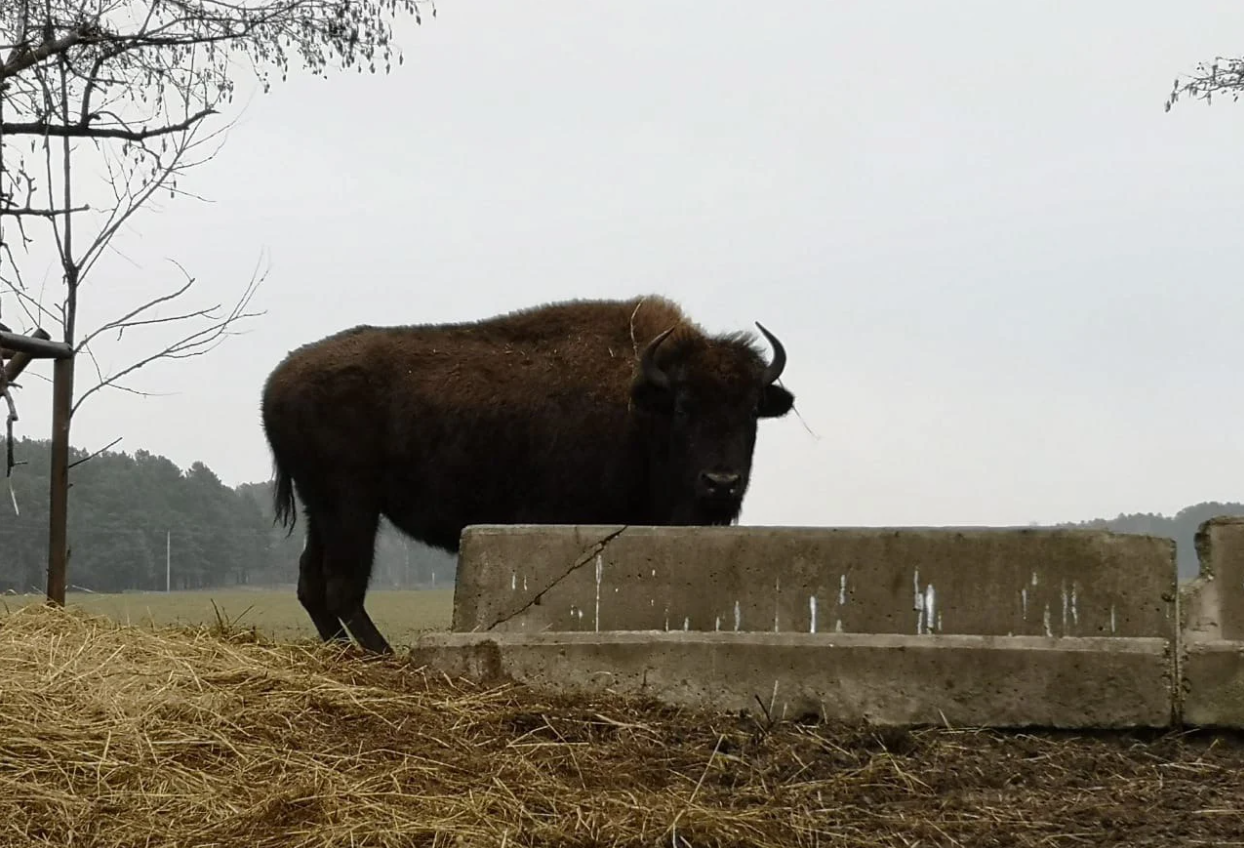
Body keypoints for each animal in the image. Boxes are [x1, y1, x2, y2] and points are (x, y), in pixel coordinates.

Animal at [259, 293, 796, 651]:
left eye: (751, 410)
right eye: (684, 408)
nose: (722, 483)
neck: (641, 406)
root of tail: (277, 381)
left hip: (323, 507)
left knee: (311, 583)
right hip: (351, 505)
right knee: (341, 584)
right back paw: (382, 656)